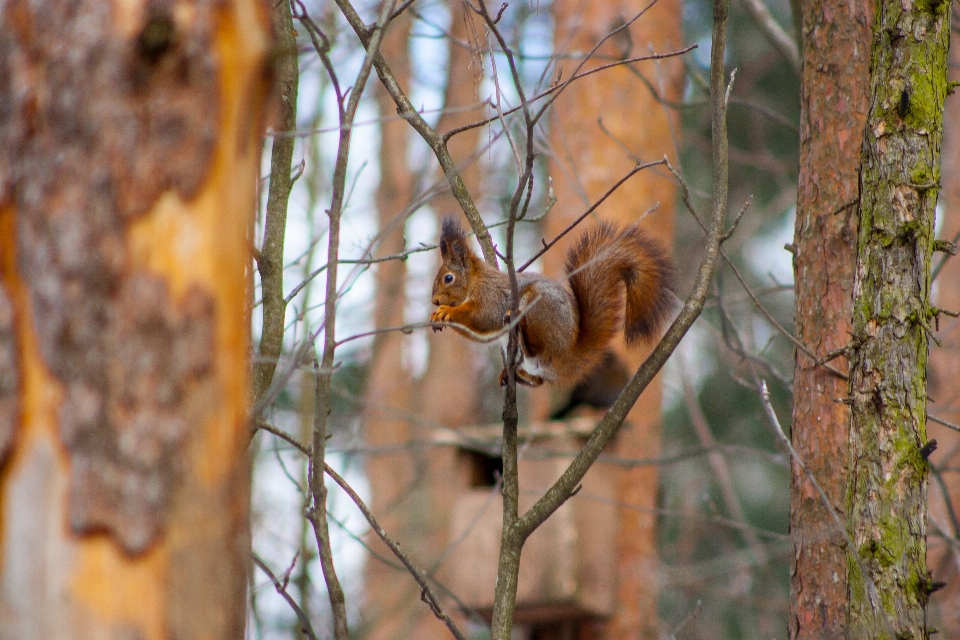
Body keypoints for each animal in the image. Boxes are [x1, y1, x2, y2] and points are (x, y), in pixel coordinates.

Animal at [430, 216, 676, 384]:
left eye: (448, 278)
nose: (434, 301)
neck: (475, 282)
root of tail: (568, 353)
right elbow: (480, 334)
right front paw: (438, 316)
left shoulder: (492, 297)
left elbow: (483, 317)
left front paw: (446, 312)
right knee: (538, 380)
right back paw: (515, 375)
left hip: (539, 307)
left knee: (536, 347)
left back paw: (522, 331)